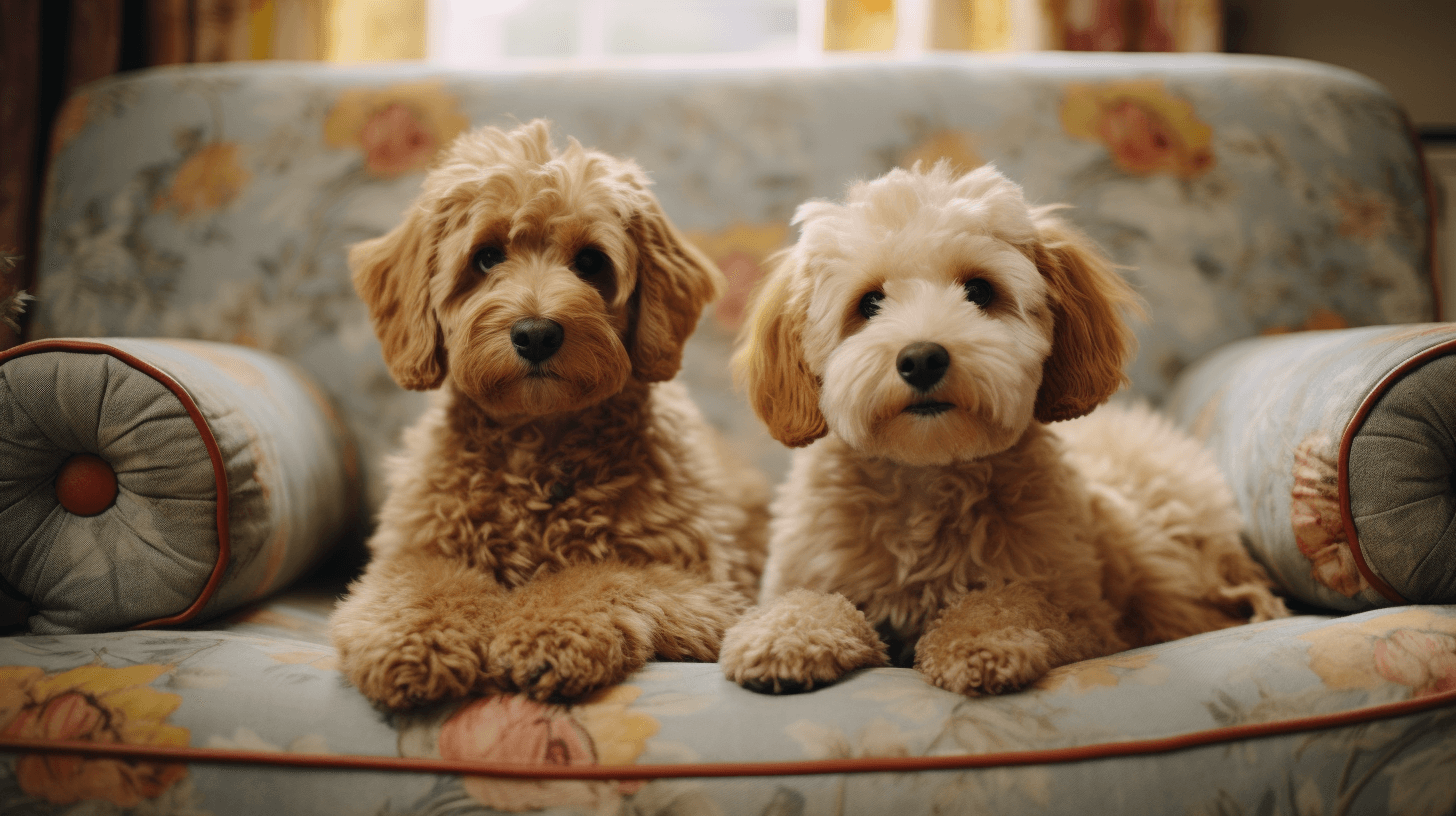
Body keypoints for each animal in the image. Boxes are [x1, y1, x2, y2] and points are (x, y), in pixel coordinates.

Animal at [324, 119, 768, 708]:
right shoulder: (413, 552)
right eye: (487, 257)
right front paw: (416, 641)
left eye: (590, 262)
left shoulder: (707, 590)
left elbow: (599, 577)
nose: (536, 333)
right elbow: (423, 584)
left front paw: (547, 634)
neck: (537, 442)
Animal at [719, 163, 1287, 693]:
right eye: (869, 303)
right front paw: (786, 636)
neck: (926, 476)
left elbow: (1009, 603)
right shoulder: (809, 571)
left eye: (979, 290)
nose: (922, 358)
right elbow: (810, 600)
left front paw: (981, 644)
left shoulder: (1087, 620)